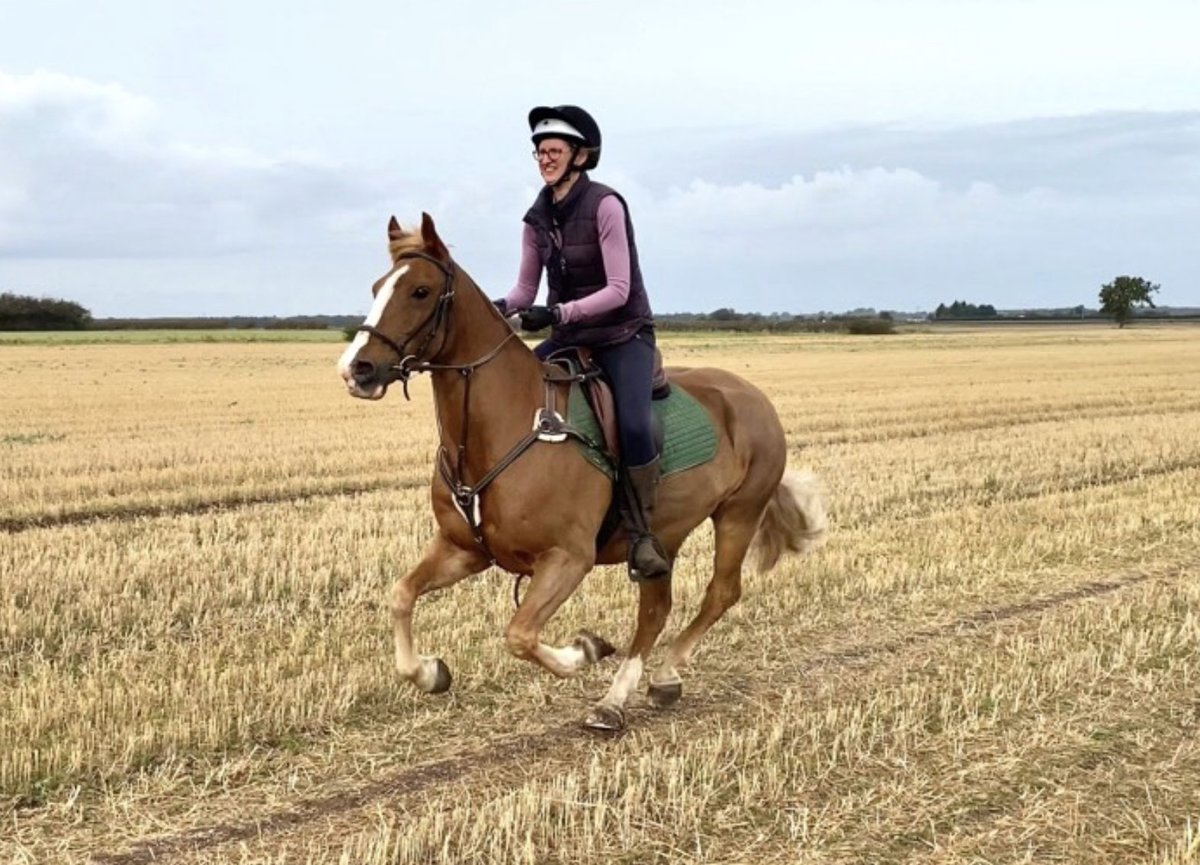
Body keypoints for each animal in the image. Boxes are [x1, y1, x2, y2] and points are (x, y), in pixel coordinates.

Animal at [337, 213, 827, 730]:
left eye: (421, 291)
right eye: (377, 287)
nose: (357, 369)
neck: (501, 430)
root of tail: (752, 396)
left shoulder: (567, 558)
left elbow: (520, 634)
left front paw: (585, 650)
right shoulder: (463, 549)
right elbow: (401, 594)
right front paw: (430, 673)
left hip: (738, 513)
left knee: (721, 593)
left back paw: (656, 678)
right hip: (663, 537)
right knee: (656, 610)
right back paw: (624, 695)